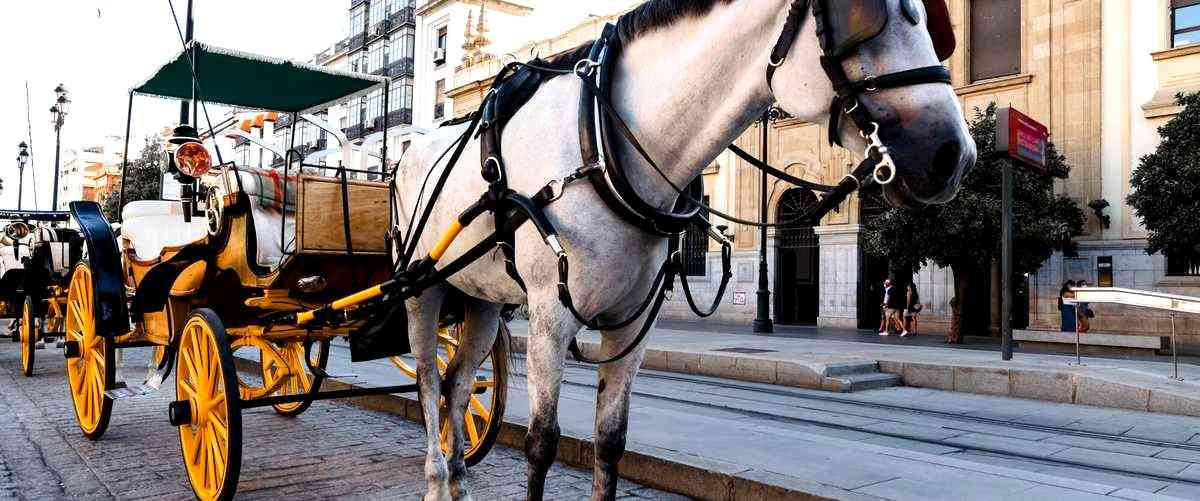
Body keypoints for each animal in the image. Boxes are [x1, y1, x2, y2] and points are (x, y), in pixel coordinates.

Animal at [393, 0, 974, 501]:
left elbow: (611, 441)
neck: (600, 139)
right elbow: (542, 444)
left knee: (457, 382)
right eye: (864, 22)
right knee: (427, 379)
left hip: (482, 299)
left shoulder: (632, 320)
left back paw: (459, 480)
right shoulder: (548, 317)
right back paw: (435, 479)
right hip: (421, 290)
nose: (955, 154)